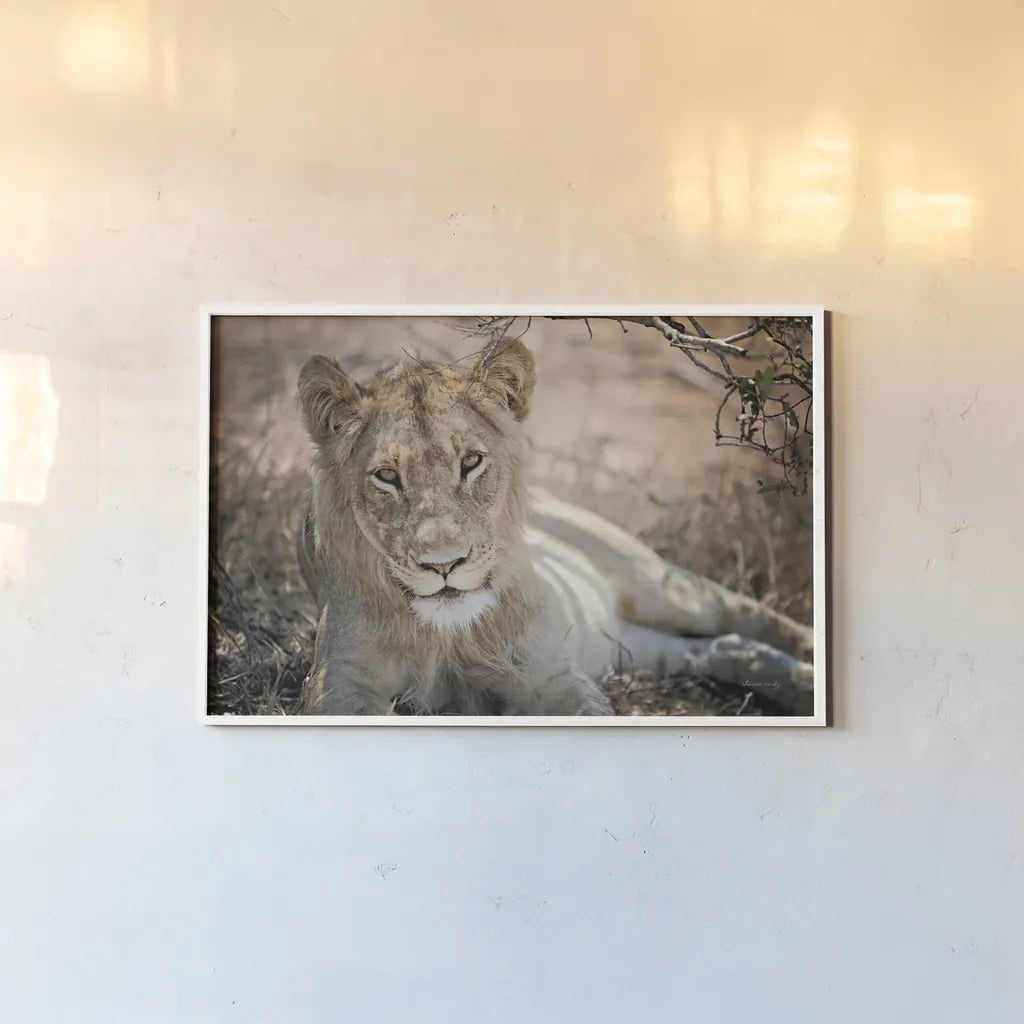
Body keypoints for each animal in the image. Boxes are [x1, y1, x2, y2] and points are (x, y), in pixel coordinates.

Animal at [295, 338, 815, 716]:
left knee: (748, 616)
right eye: (387, 476)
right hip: (626, 644)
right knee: (713, 646)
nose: (444, 565)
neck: (445, 635)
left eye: (470, 462)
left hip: (662, 587)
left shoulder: (549, 676)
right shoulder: (337, 681)